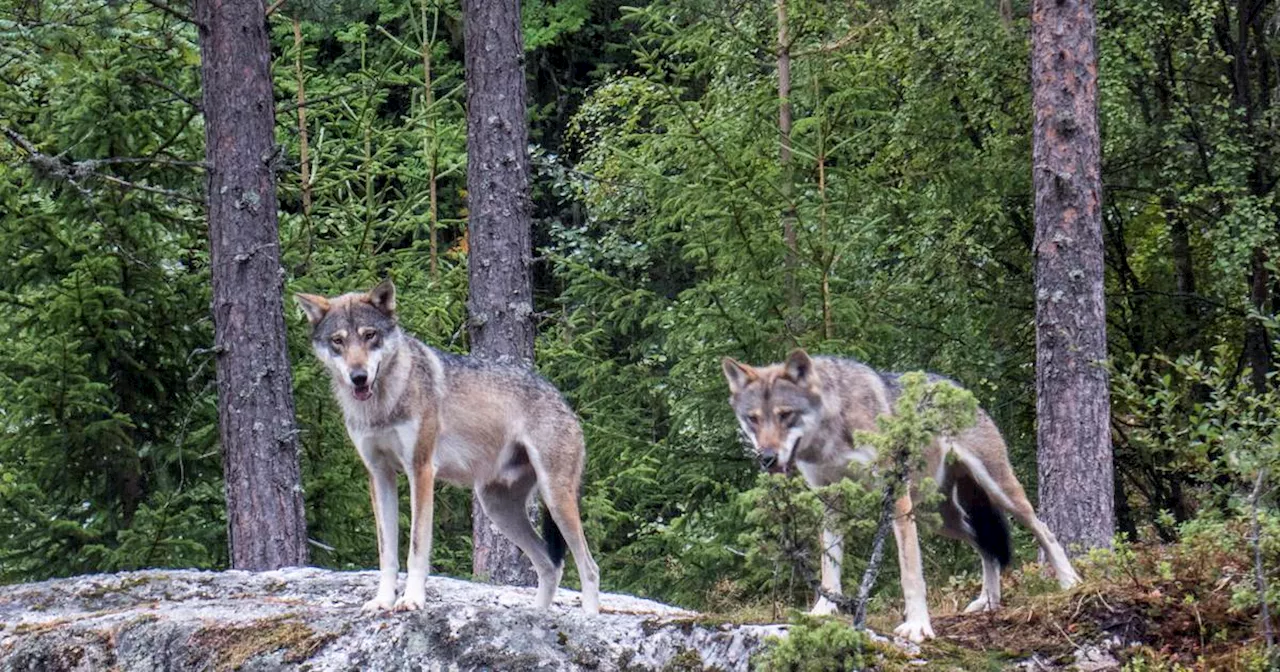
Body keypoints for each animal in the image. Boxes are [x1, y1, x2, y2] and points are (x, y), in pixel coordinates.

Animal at [296, 277, 601, 611]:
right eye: (338, 341)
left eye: (369, 335)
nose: (359, 377)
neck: (382, 406)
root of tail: (565, 403)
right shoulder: (379, 475)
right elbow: (386, 553)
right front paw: (383, 601)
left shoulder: (421, 470)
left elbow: (416, 547)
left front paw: (411, 600)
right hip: (497, 508)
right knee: (550, 566)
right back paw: (538, 616)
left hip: (555, 500)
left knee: (588, 567)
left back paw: (588, 618)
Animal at [721, 348, 1080, 642]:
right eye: (753, 419)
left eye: (785, 415)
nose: (767, 458)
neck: (831, 435)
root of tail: (956, 386)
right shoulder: (830, 502)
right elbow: (829, 566)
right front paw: (823, 611)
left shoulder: (894, 496)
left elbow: (911, 571)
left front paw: (918, 625)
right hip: (938, 519)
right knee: (986, 548)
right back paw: (989, 601)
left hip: (997, 491)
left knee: (1042, 530)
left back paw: (1069, 582)